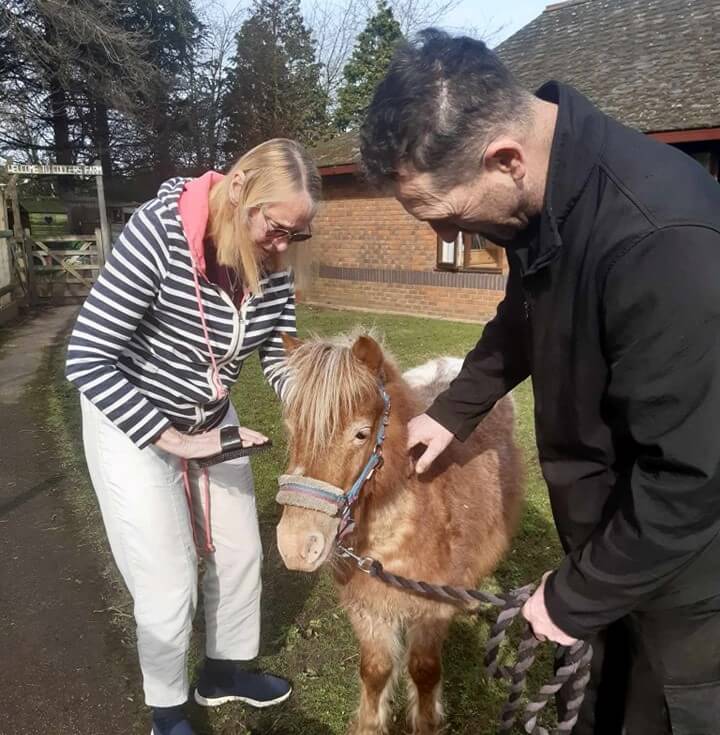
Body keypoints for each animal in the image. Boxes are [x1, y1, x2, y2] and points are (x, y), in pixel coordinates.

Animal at [274, 332, 524, 735]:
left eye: (361, 434)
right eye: (292, 428)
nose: (296, 545)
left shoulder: (431, 610)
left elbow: (423, 670)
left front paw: (427, 722)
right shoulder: (368, 607)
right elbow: (375, 670)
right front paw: (369, 725)